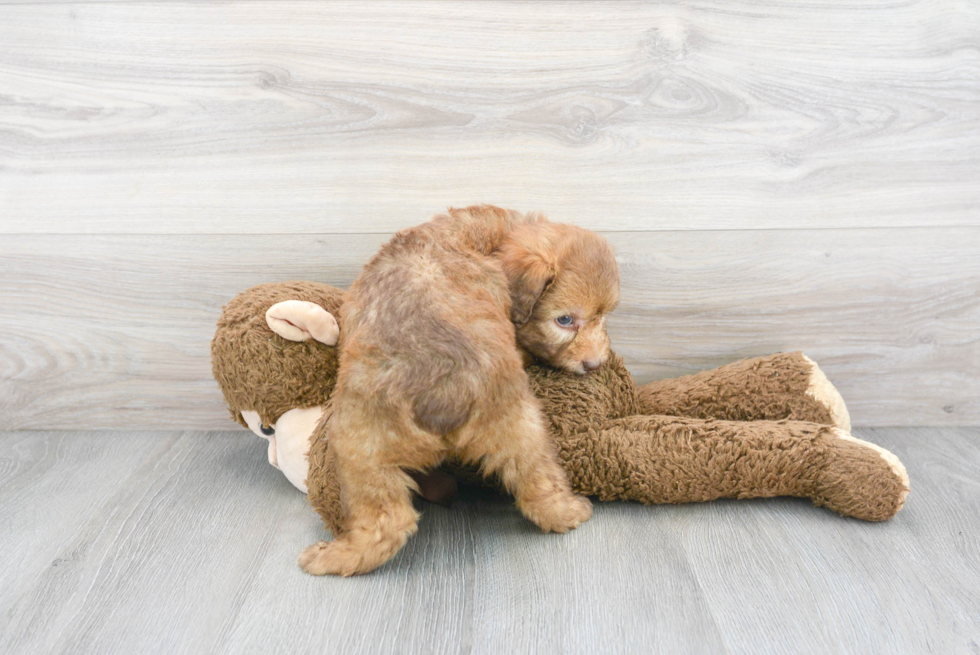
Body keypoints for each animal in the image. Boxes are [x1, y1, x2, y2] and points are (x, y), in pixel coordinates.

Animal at [300, 204, 620, 576]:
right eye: (565, 320)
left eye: (604, 316)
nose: (595, 364)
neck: (491, 236)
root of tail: (441, 396)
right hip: (514, 426)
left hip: (360, 444)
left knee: (388, 522)